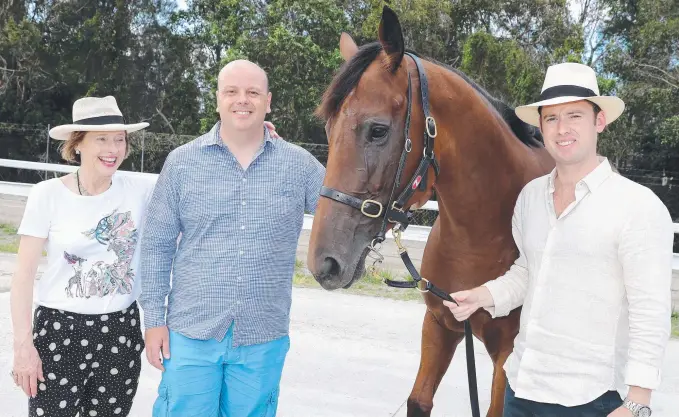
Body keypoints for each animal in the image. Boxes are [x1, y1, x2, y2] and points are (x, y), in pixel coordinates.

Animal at [308, 5, 556, 416]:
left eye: (378, 130)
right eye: (329, 129)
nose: (323, 263)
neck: (482, 236)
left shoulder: (507, 355)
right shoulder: (439, 325)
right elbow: (419, 400)